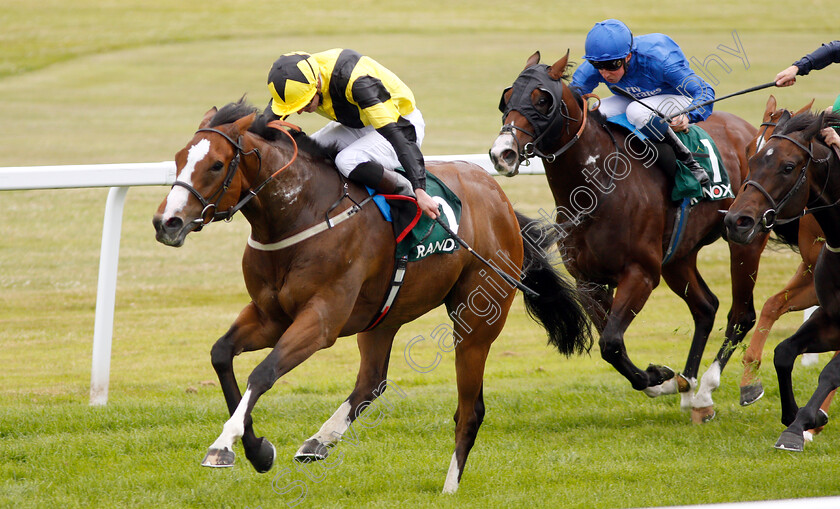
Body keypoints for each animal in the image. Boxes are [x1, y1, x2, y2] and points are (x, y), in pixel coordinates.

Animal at [153, 97, 596, 490]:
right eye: (177, 158)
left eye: (215, 164)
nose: (166, 222)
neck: (302, 213)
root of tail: (499, 197)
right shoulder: (269, 315)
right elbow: (221, 354)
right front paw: (258, 451)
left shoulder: (321, 320)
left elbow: (263, 373)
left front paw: (223, 447)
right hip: (383, 314)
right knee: (371, 382)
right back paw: (319, 441)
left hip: (476, 319)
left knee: (470, 409)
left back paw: (449, 487)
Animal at [486, 52, 768, 424]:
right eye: (506, 98)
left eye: (542, 100)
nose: (502, 153)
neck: (597, 189)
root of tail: (751, 132)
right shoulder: (588, 282)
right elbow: (613, 345)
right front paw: (660, 378)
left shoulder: (641, 273)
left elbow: (611, 341)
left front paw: (658, 377)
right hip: (678, 257)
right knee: (705, 307)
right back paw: (689, 387)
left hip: (744, 238)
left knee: (741, 314)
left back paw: (706, 388)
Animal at [720, 110, 840, 448]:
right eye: (752, 157)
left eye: (788, 166)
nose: (736, 220)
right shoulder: (825, 303)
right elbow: (782, 346)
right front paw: (795, 417)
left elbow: (831, 371)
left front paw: (805, 424)